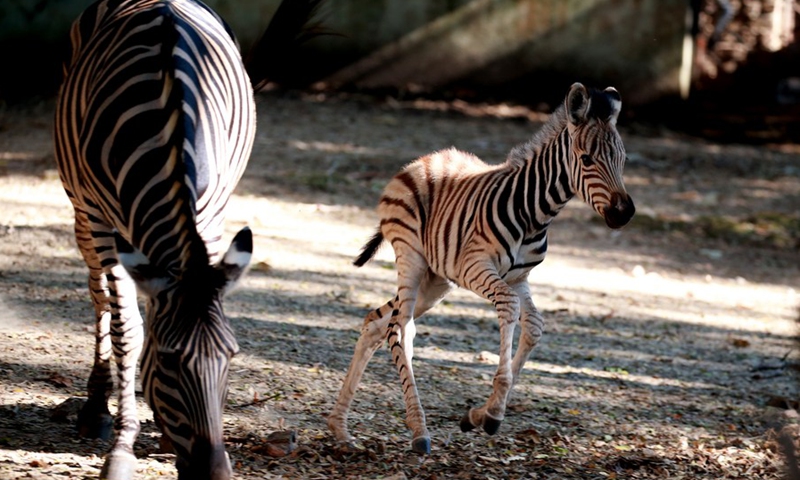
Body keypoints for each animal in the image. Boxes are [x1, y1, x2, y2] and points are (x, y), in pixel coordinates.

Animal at [52, 0, 322, 480]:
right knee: (99, 294)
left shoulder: (210, 217)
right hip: (82, 212)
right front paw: (122, 446)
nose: (214, 473)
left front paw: (160, 433)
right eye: (169, 363)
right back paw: (96, 406)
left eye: (232, 356)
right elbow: (127, 330)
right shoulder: (103, 220)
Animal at [328, 81, 636, 454]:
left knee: (375, 322)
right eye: (587, 159)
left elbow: (534, 325)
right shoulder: (476, 266)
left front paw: (479, 413)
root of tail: (419, 162)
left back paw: (340, 429)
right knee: (399, 329)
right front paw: (491, 414)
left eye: (623, 160)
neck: (535, 214)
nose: (624, 213)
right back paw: (418, 431)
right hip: (412, 257)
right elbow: (510, 308)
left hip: (436, 279)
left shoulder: (520, 278)